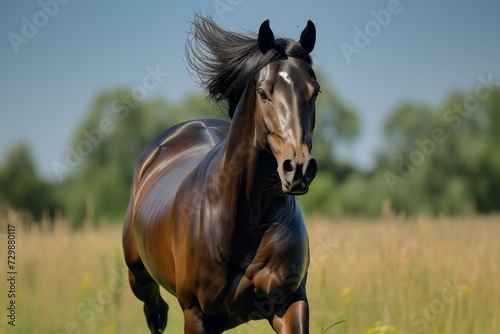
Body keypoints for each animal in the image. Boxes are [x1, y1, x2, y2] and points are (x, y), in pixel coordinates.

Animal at [124, 16, 320, 334]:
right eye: (263, 92)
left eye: (315, 91)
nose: (299, 168)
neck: (247, 220)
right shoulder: (197, 314)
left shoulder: (290, 302)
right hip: (137, 273)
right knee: (154, 311)